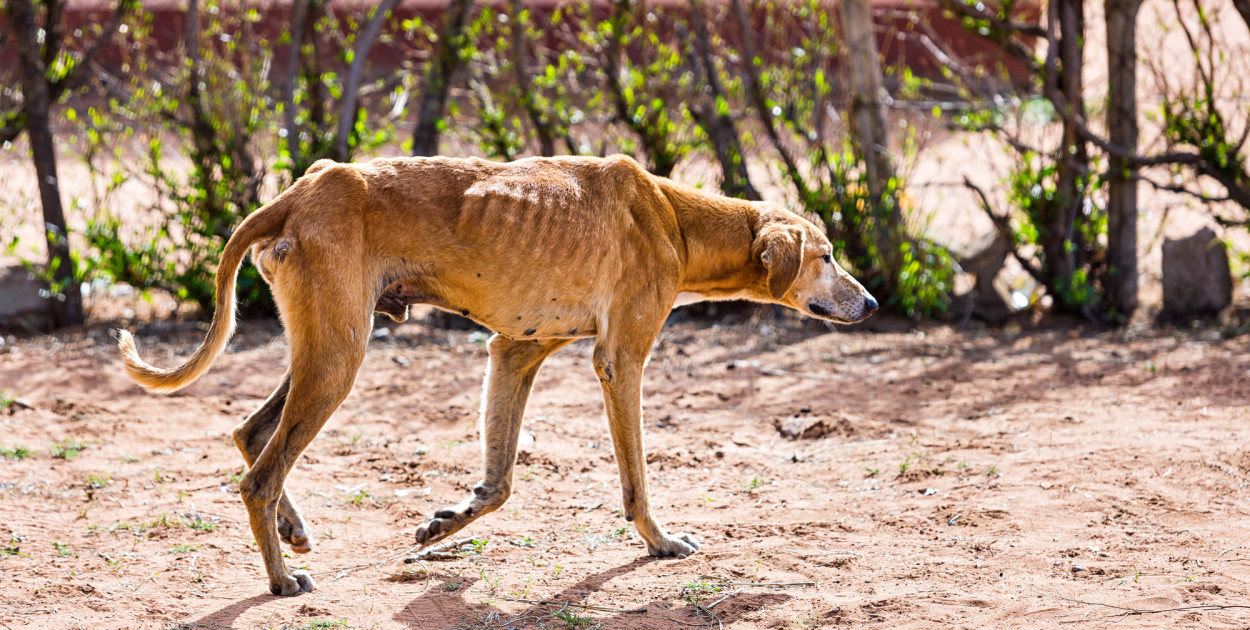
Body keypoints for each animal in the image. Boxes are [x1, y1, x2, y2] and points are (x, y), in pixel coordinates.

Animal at [119, 153, 880, 595]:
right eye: (827, 256)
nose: (872, 304)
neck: (673, 217)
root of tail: (302, 190)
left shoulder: (515, 352)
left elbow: (501, 481)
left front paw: (447, 522)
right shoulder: (620, 361)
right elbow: (635, 480)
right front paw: (660, 543)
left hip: (326, 349)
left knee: (251, 435)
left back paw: (292, 530)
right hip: (338, 358)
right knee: (259, 475)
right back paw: (281, 577)